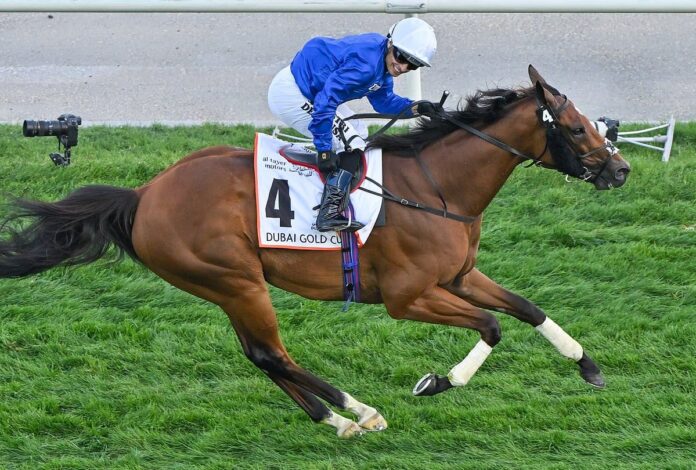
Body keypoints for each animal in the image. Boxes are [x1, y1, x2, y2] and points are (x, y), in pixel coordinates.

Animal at [0, 66, 630, 438]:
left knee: (261, 356)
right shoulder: (408, 297)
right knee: (272, 354)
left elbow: (527, 308)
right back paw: (359, 411)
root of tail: (143, 195)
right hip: (235, 280)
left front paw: (588, 366)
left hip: (228, 286)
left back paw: (332, 417)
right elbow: (493, 327)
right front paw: (436, 382)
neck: (438, 188)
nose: (621, 169)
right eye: (576, 129)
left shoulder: (459, 276)